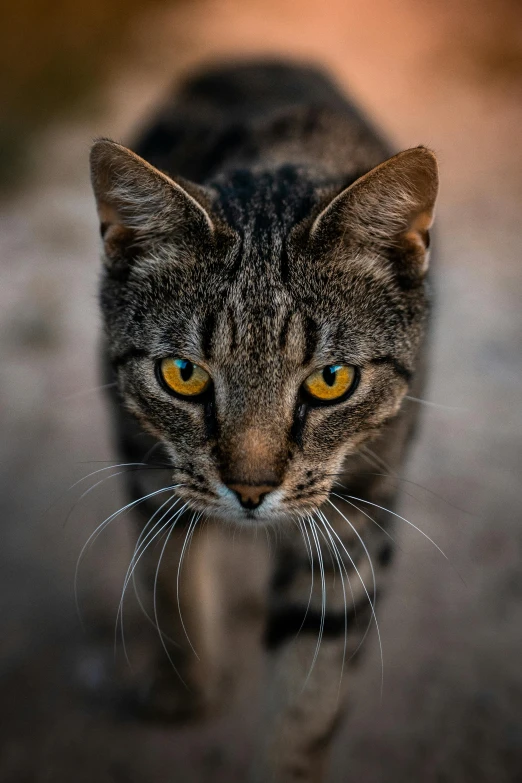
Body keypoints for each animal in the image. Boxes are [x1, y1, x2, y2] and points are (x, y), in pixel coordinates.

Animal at [88, 58, 434, 780]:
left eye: (332, 380)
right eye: (182, 373)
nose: (250, 491)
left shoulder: (353, 526)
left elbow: (307, 698)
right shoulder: (147, 462)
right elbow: (169, 577)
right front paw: (185, 681)